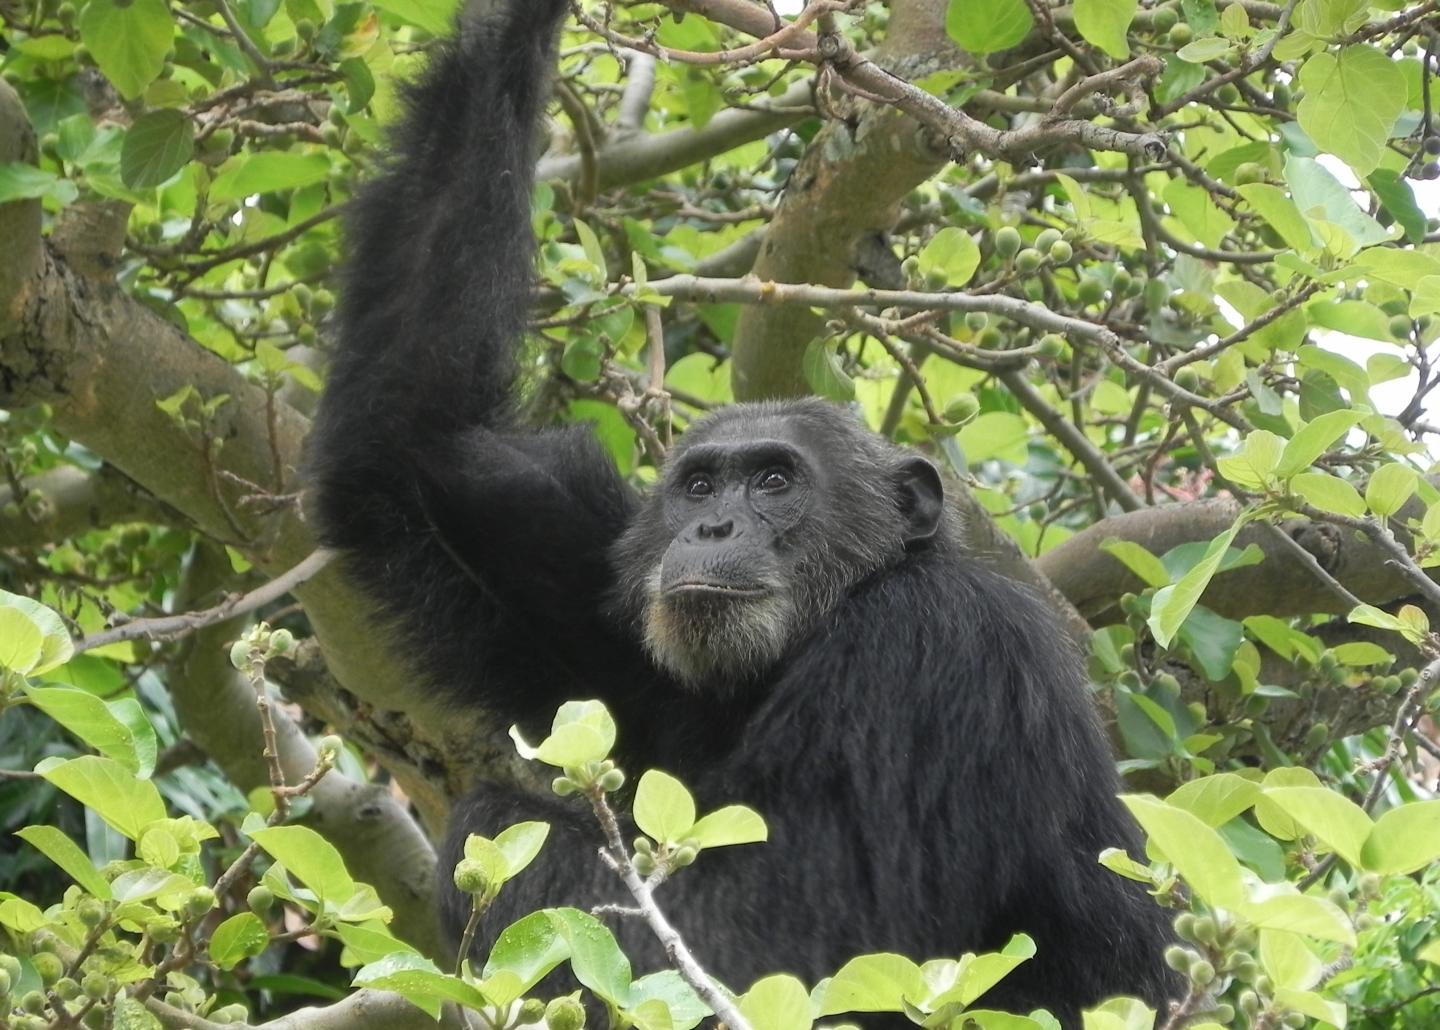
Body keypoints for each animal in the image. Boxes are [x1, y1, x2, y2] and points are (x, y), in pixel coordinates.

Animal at [306, 0, 1180, 1019]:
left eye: (772, 482)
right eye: (698, 486)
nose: (712, 527)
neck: (812, 634)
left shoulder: (929, 658)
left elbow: (764, 945)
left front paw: (497, 821)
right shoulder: (599, 606)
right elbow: (421, 438)